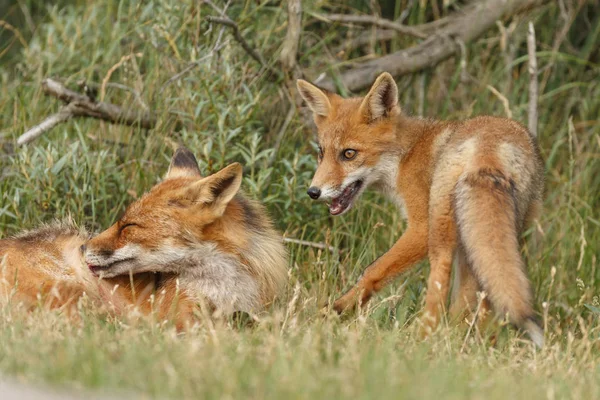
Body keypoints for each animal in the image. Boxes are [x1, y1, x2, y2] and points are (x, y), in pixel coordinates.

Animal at [298, 72, 548, 346]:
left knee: (441, 275)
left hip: (439, 227)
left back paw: (423, 338)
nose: (313, 191)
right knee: (485, 290)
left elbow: (372, 270)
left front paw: (337, 309)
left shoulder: (419, 227)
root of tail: (488, 146)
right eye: (321, 153)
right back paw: (473, 343)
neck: (405, 156)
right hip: (498, 232)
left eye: (349, 154)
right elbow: (469, 296)